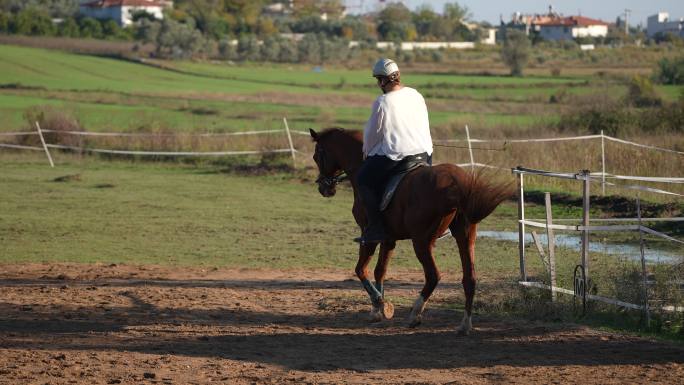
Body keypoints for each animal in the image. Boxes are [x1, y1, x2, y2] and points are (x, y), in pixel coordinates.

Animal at [310, 127, 512, 332]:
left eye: (317, 155)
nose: (323, 188)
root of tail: (455, 181)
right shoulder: (388, 239)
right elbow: (379, 271)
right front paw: (378, 310)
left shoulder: (369, 237)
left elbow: (361, 269)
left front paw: (380, 303)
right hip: (465, 236)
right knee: (469, 279)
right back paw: (464, 325)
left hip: (422, 241)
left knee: (433, 276)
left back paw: (415, 314)